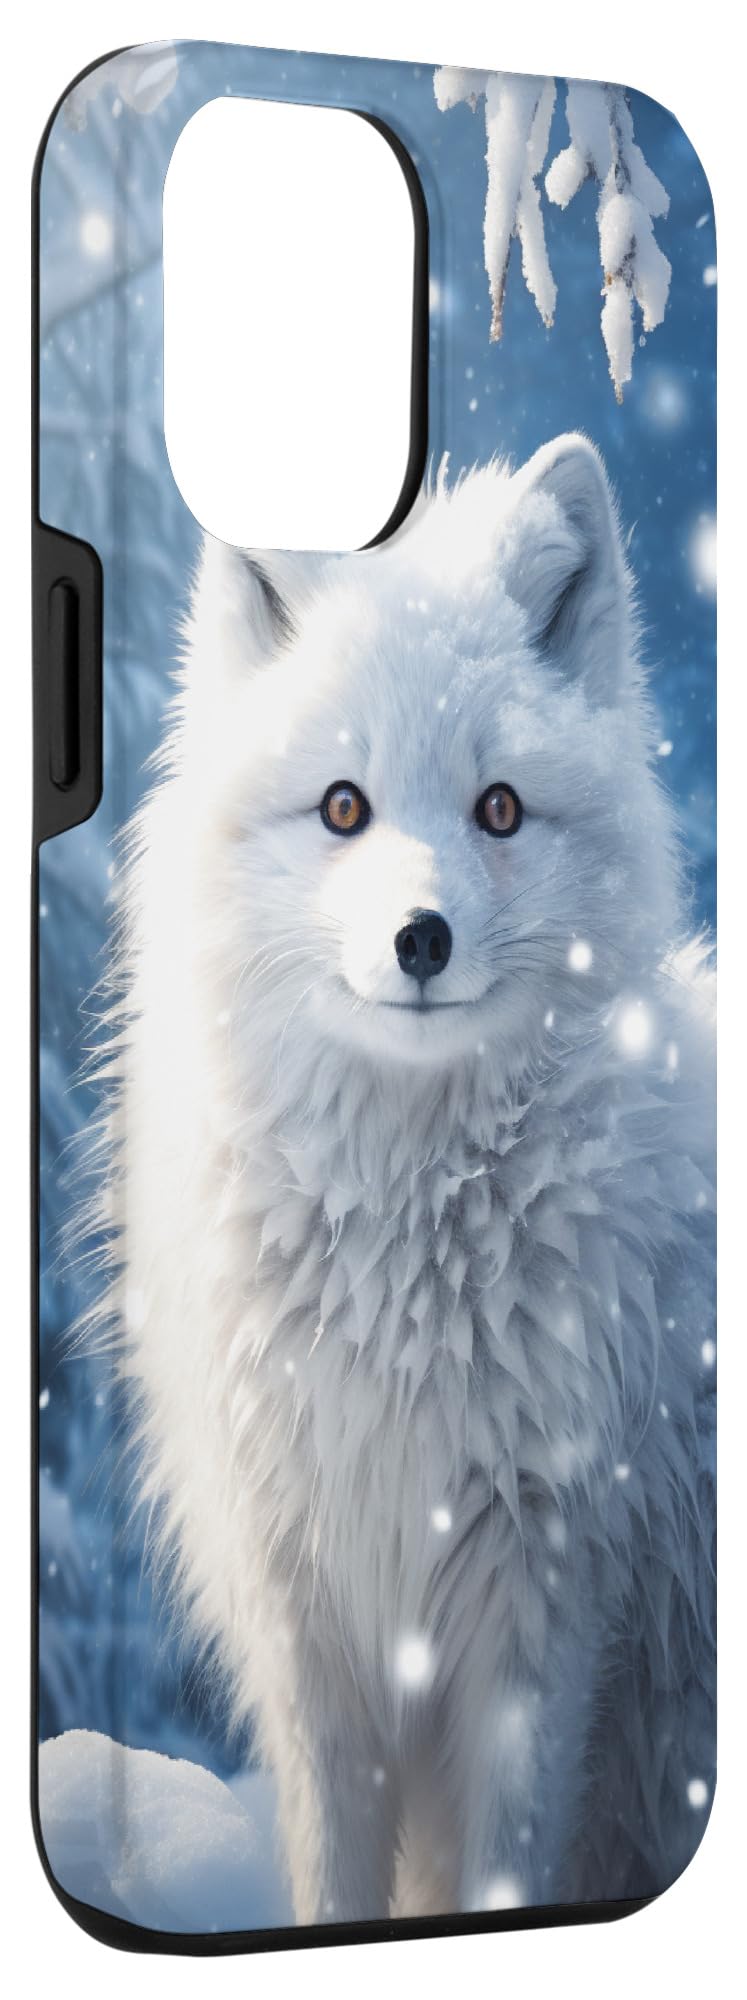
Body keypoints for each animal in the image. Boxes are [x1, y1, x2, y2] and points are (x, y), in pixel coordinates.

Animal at [104, 434, 715, 1923]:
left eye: (498, 808)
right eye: (343, 805)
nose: (420, 937)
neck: (403, 1246)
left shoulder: (540, 1608)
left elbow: (505, 1868)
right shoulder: (310, 1618)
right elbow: (333, 1877)